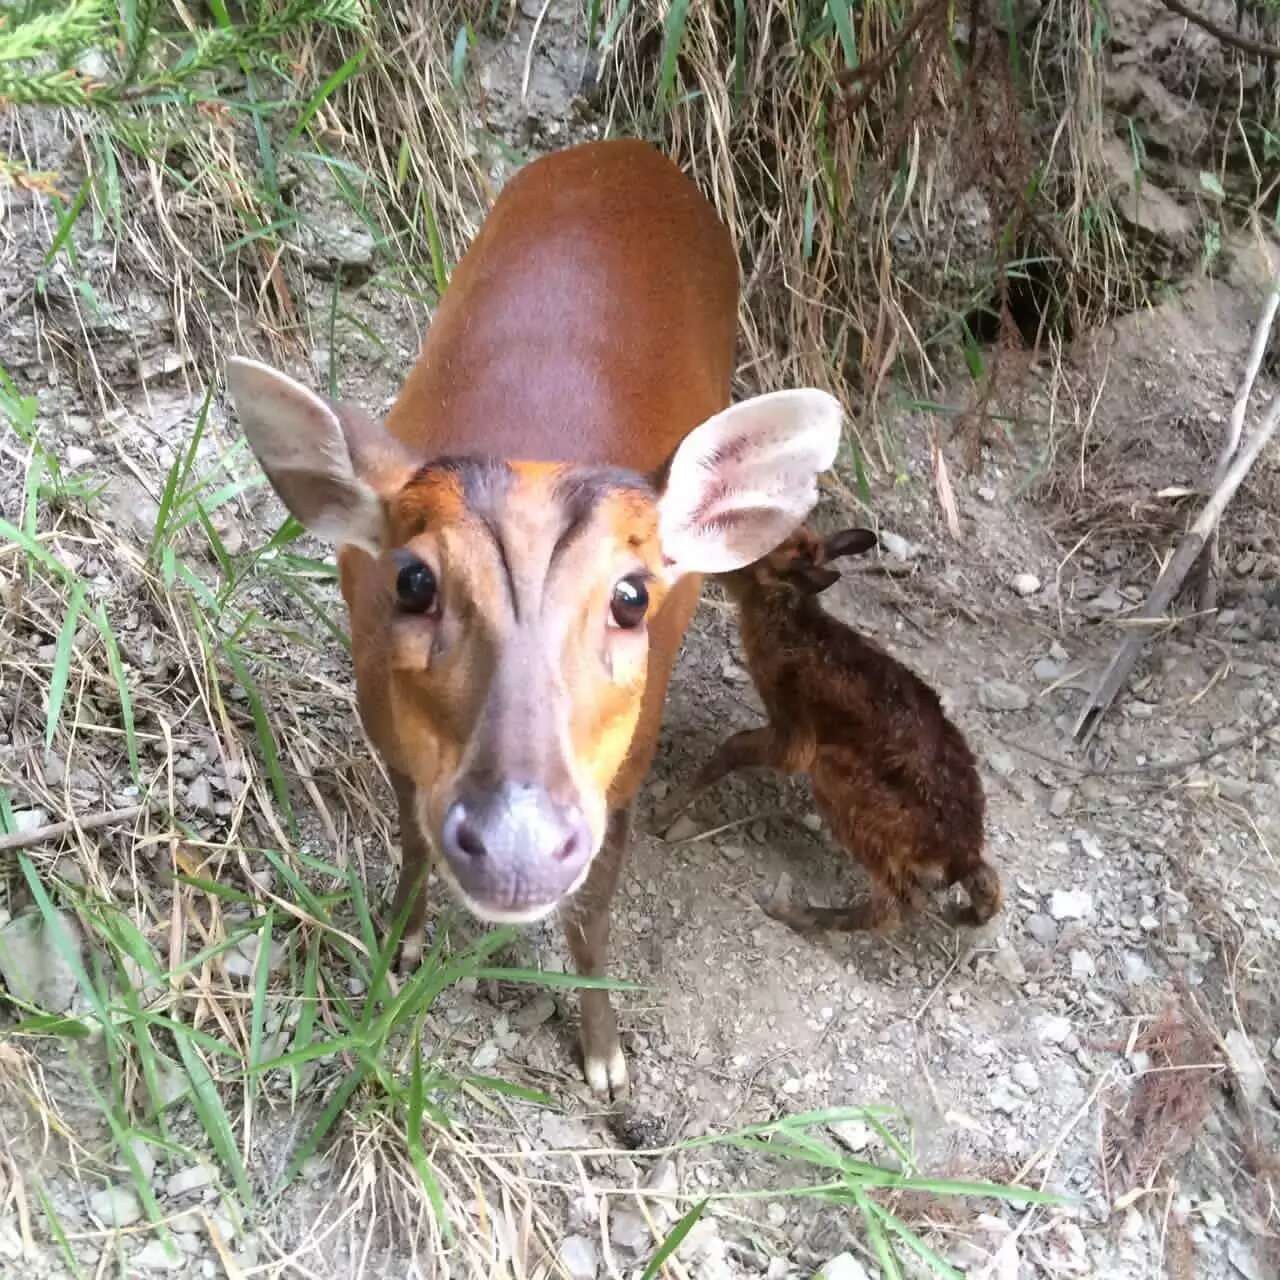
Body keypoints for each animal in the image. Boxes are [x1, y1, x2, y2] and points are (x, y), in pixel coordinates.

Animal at [223, 140, 843, 1099]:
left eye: (633, 595)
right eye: (412, 581)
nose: (517, 845)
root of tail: (633, 149)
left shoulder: (625, 767)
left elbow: (594, 911)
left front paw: (605, 1057)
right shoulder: (388, 731)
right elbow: (410, 842)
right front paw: (398, 946)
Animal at [656, 525, 1002, 936]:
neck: (795, 630)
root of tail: (962, 849)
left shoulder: (796, 731)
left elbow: (735, 747)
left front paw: (663, 812)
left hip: (845, 787)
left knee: (898, 903)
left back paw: (796, 913)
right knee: (984, 882)